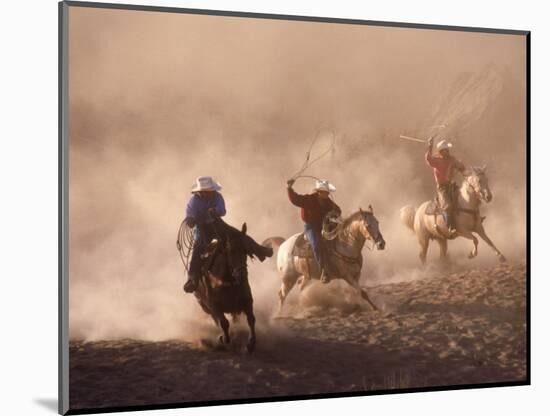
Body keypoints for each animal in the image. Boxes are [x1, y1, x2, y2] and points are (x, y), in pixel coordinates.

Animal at [194, 223, 258, 352]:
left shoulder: (247, 301)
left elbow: (251, 319)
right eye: (231, 251)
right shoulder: (214, 305)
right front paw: (223, 338)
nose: (242, 274)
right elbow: (223, 322)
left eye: (245, 250)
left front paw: (251, 343)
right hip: (205, 307)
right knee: (216, 320)